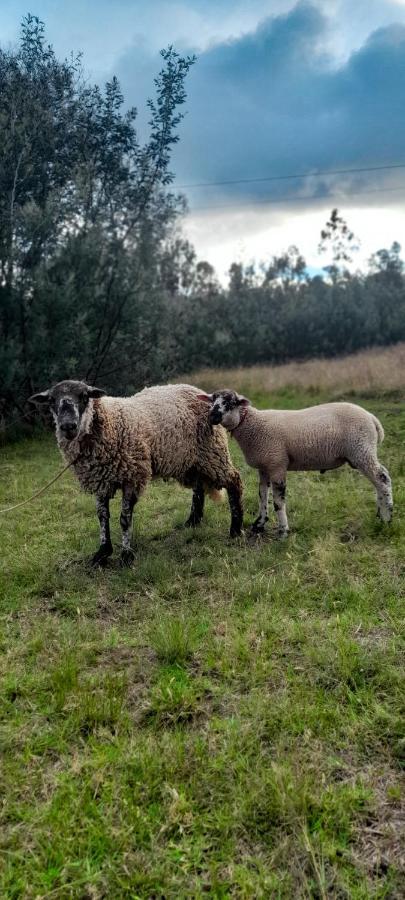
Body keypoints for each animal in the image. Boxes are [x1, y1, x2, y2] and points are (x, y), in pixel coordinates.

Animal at [30, 378, 243, 564]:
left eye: (84, 396)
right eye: (51, 400)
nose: (68, 426)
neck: (108, 422)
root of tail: (198, 391)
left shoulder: (132, 476)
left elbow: (124, 519)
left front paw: (126, 555)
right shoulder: (100, 480)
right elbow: (102, 517)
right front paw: (102, 552)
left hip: (213, 452)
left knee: (234, 481)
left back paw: (235, 529)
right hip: (190, 461)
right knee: (198, 488)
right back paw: (192, 522)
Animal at [196, 390, 392, 536]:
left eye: (230, 402)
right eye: (212, 400)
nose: (212, 416)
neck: (252, 425)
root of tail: (372, 418)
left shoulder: (277, 464)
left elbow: (278, 501)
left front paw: (283, 531)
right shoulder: (264, 467)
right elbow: (262, 495)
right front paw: (259, 524)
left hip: (361, 449)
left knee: (382, 478)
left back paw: (387, 517)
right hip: (362, 451)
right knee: (379, 480)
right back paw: (380, 515)